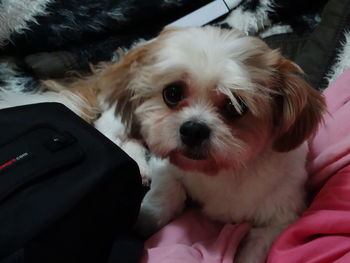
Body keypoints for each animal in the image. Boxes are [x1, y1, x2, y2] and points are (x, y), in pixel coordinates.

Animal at [2, 25, 326, 263]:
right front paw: (140, 223)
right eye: (172, 93)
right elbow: (161, 203)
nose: (193, 129)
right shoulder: (168, 169)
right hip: (126, 114)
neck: (222, 172)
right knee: (110, 129)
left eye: (236, 107)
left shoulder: (282, 215)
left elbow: (257, 247)